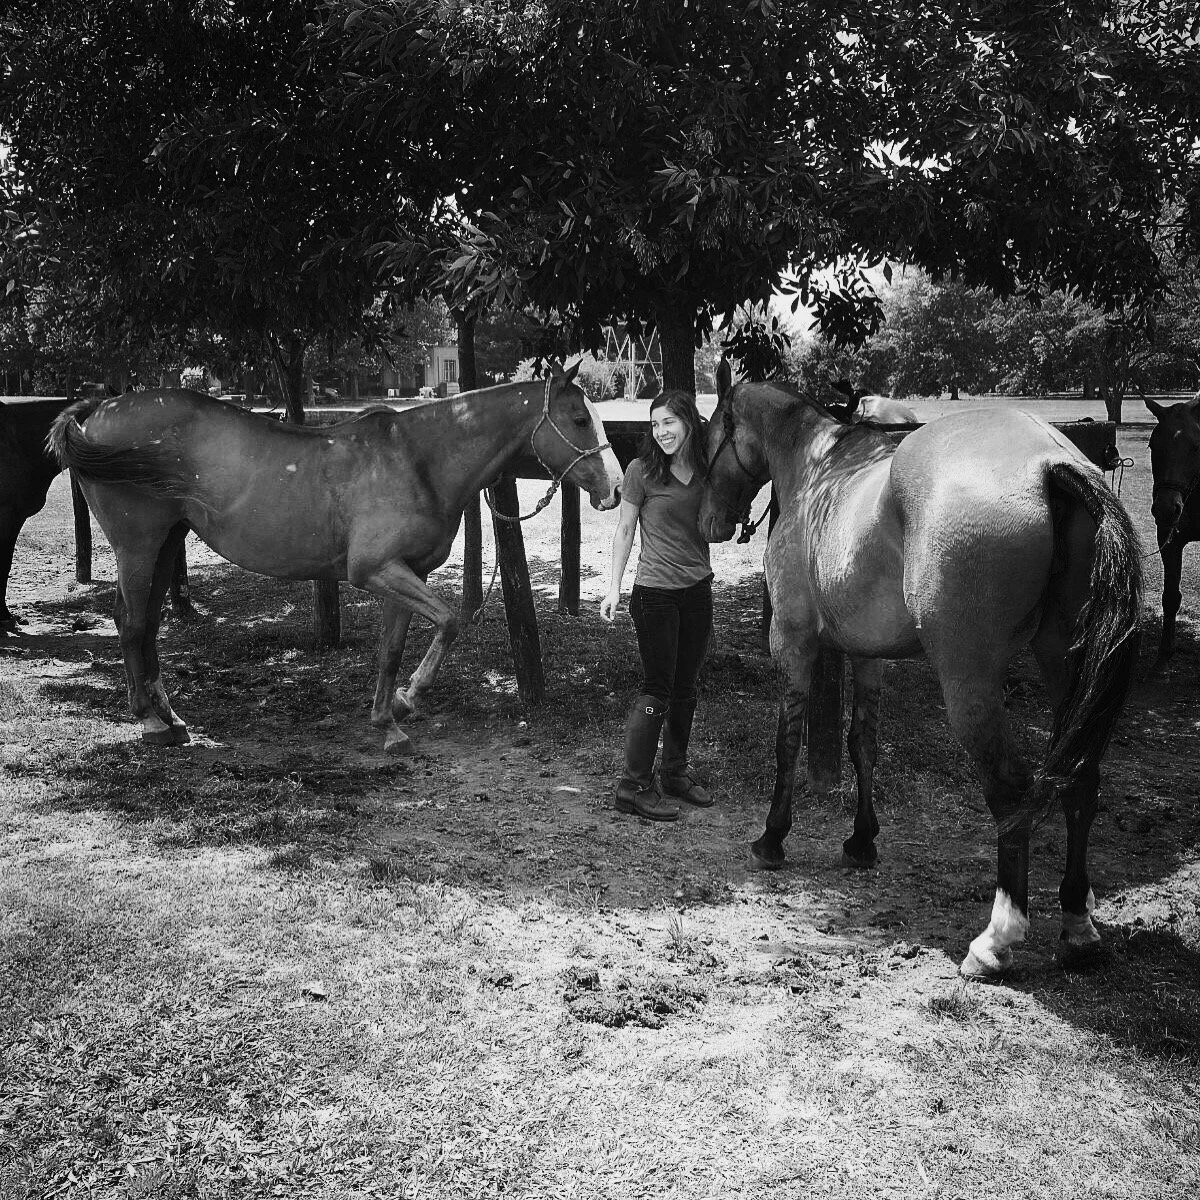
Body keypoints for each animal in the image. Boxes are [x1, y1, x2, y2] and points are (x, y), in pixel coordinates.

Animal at [49, 361, 623, 752]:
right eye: (578, 418)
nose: (615, 489)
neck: (417, 459)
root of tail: (98, 411)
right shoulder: (375, 572)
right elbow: (450, 619)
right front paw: (410, 697)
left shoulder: (403, 573)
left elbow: (392, 649)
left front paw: (387, 721)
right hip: (139, 544)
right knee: (132, 623)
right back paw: (149, 720)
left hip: (169, 539)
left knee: (143, 624)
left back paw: (169, 717)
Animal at [699, 361, 1142, 980]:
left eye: (710, 432)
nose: (708, 521)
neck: (817, 469)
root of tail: (1050, 462)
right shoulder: (867, 656)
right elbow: (863, 743)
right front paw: (861, 841)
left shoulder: (793, 642)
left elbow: (787, 742)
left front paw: (773, 837)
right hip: (1064, 663)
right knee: (1080, 779)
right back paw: (1077, 923)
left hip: (968, 678)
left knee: (1010, 792)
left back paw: (996, 939)